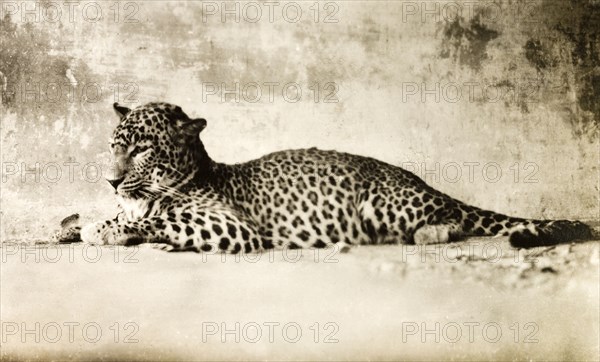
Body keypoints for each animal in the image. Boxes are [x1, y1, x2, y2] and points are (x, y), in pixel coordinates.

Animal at [78, 100, 592, 253]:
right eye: (114, 145)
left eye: (141, 149)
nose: (110, 181)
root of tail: (424, 184)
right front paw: (95, 221)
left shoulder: (234, 226)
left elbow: (159, 218)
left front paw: (105, 229)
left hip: (384, 201)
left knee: (453, 220)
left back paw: (430, 233)